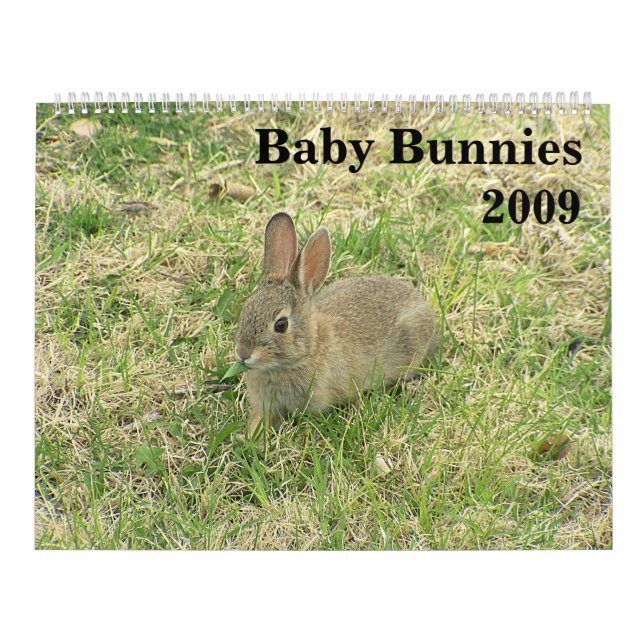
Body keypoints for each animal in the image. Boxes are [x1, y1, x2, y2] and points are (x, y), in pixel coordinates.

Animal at [234, 212, 438, 436]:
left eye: (281, 325)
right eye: (245, 308)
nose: (243, 354)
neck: (307, 351)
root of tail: (424, 306)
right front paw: (251, 438)